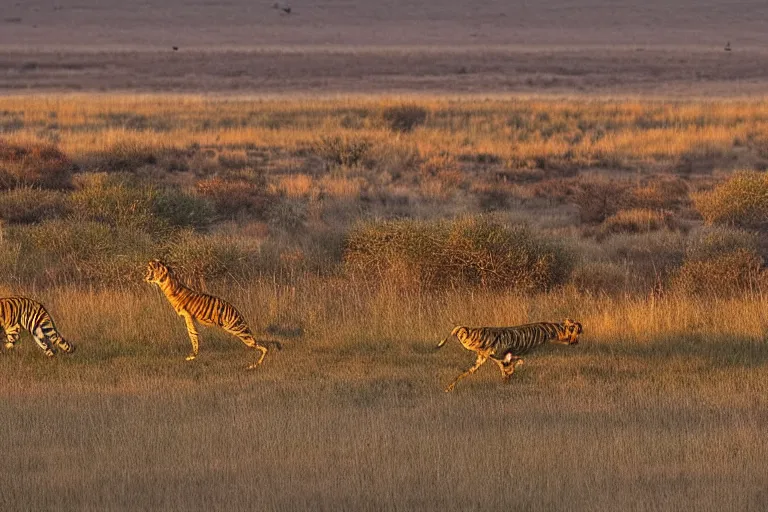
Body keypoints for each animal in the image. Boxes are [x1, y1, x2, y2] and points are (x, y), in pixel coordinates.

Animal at [438, 318, 584, 394]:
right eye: (577, 331)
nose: (576, 342)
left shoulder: (497, 357)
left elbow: (508, 369)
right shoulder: (498, 356)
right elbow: (509, 367)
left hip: (478, 359)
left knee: (462, 374)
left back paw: (449, 387)